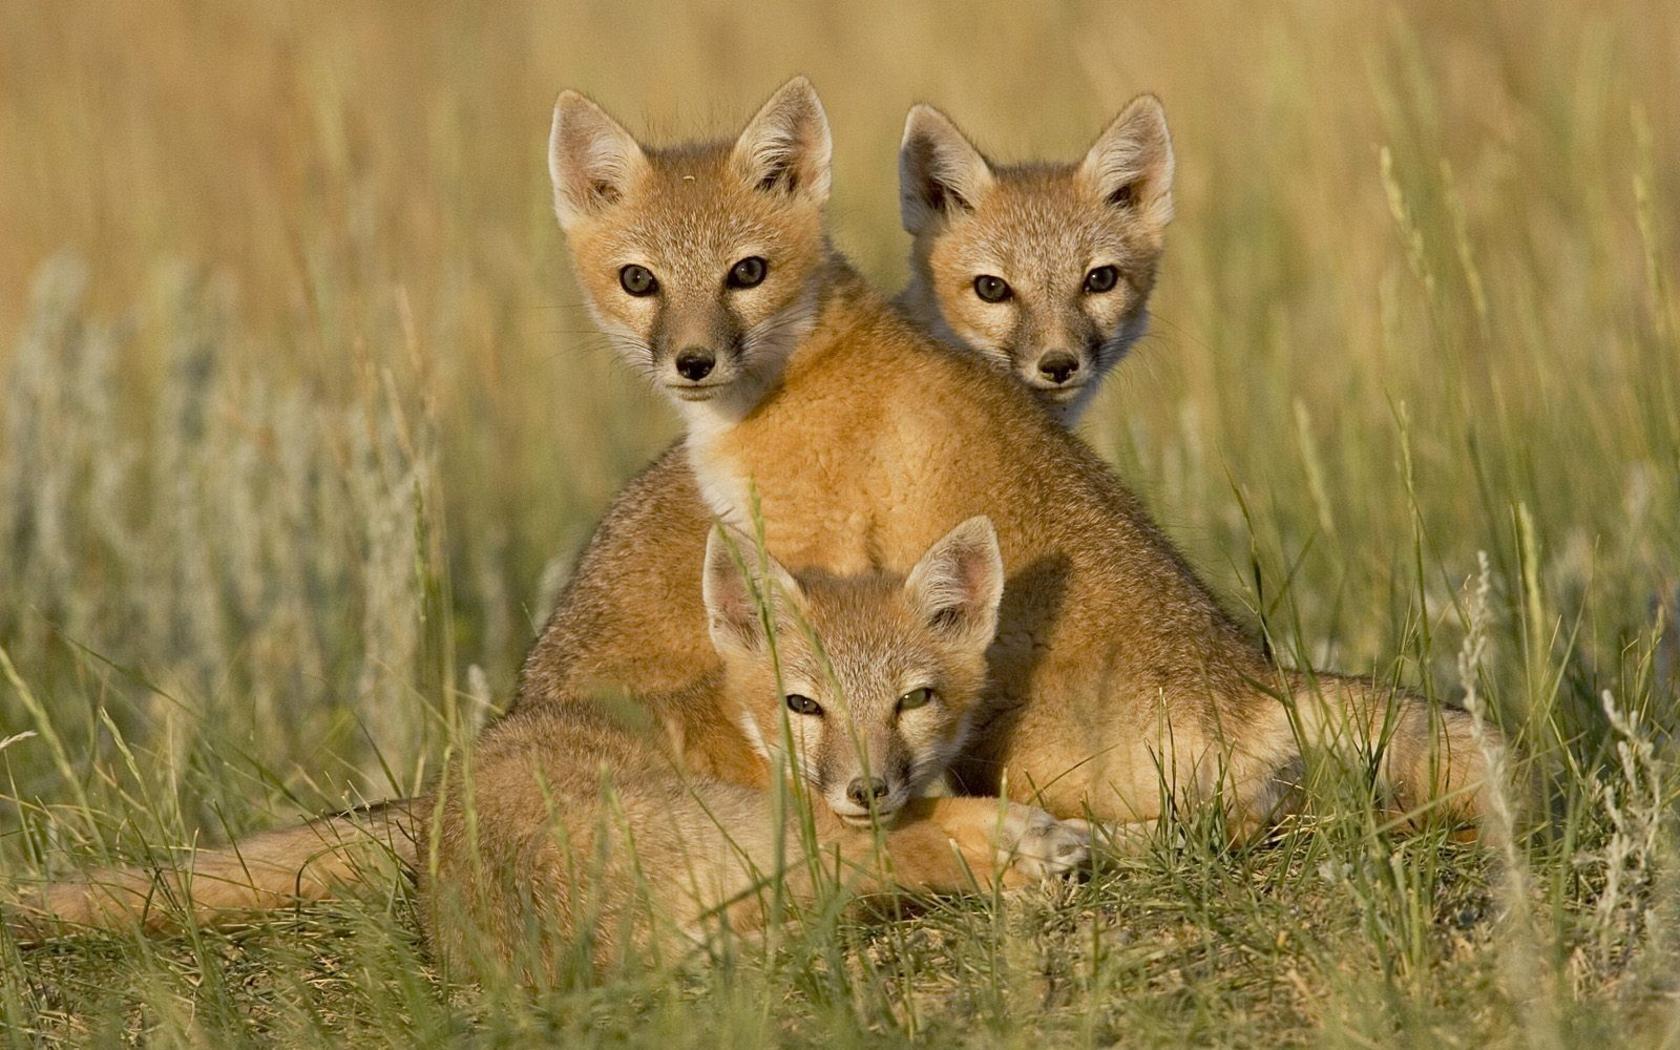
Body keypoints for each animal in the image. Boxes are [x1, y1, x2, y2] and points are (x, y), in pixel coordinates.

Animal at [8, 519, 1089, 979]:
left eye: (914, 699)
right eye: (803, 704)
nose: (867, 786)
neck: (727, 727)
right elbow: (919, 832)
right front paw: (1010, 838)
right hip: (774, 840)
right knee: (902, 858)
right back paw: (1022, 847)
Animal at [524, 76, 1498, 842]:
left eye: (747, 273)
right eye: (639, 281)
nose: (693, 362)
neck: (796, 378)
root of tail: (1255, 677)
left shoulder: (821, 555)